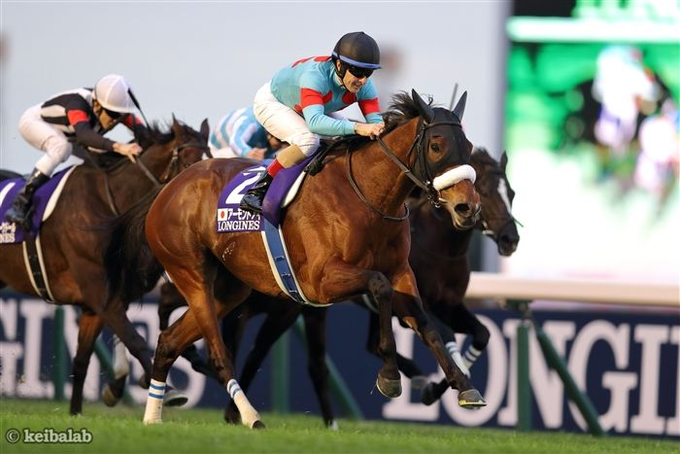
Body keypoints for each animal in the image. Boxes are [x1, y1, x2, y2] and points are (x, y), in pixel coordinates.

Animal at [0, 118, 210, 415]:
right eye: (189, 162)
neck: (109, 204)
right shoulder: (101, 296)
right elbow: (135, 340)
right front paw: (168, 391)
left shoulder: (98, 305)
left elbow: (81, 361)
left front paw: (76, 412)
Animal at [106, 90, 486, 428]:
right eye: (436, 145)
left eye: (468, 147)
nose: (467, 207)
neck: (368, 197)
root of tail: (168, 188)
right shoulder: (321, 281)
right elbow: (380, 288)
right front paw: (390, 376)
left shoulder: (401, 274)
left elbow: (424, 323)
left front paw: (464, 387)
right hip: (191, 273)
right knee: (218, 351)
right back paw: (249, 415)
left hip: (229, 289)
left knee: (169, 341)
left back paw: (153, 417)